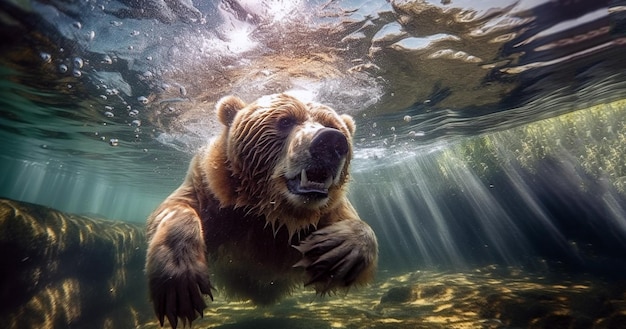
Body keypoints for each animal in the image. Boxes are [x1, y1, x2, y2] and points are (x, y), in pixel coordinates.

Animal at [146, 93, 378, 326]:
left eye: (332, 125)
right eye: (286, 120)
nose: (331, 141)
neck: (273, 212)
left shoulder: (325, 213)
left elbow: (354, 227)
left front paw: (336, 252)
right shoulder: (211, 193)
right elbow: (176, 208)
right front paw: (179, 285)